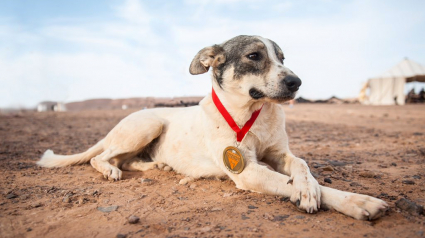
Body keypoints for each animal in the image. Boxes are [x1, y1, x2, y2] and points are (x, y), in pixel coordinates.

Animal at [39, 34, 388, 219]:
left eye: (282, 58)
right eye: (254, 55)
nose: (296, 82)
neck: (251, 113)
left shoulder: (279, 153)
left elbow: (301, 165)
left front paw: (310, 187)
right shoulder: (246, 170)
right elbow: (294, 184)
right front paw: (354, 201)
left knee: (127, 159)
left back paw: (157, 166)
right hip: (148, 124)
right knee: (102, 158)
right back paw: (112, 169)